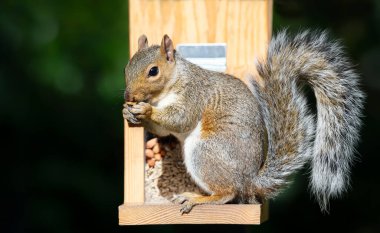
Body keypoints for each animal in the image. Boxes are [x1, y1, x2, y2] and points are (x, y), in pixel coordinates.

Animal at [122, 30, 366, 214]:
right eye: (126, 67)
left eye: (153, 71)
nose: (128, 95)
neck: (168, 87)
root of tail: (249, 182)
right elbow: (163, 131)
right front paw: (129, 112)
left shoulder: (194, 95)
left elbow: (180, 119)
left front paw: (145, 110)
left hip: (205, 151)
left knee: (228, 193)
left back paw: (198, 199)